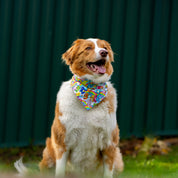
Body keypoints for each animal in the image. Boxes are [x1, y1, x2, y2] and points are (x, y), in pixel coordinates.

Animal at [14, 38, 124, 177]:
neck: (90, 92)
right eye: (88, 48)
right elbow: (60, 171)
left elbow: (107, 173)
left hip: (118, 160)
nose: (104, 53)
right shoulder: (62, 142)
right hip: (49, 153)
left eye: (104, 47)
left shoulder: (109, 144)